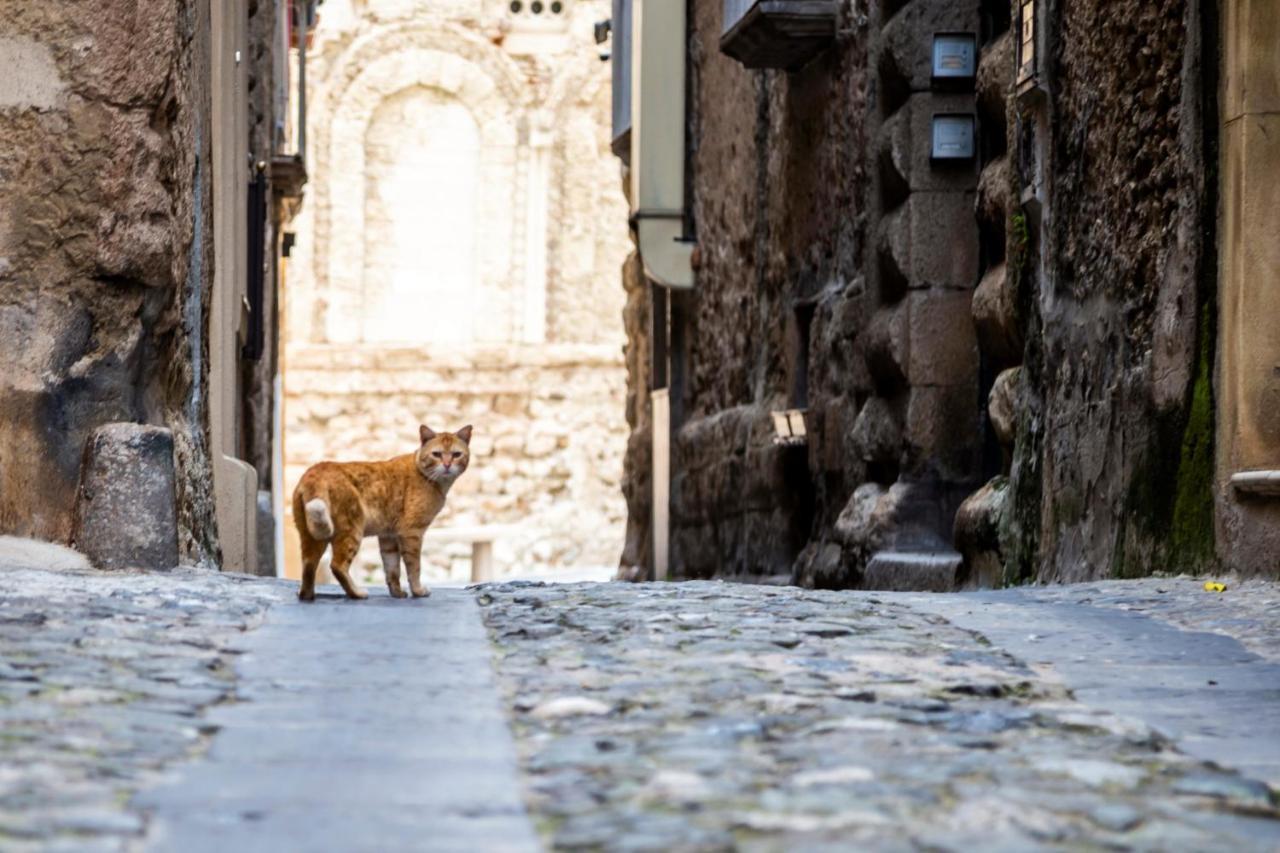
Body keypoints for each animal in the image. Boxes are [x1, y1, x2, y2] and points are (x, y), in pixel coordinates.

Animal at [289, 422, 471, 596]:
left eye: (456, 454)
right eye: (437, 454)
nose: (447, 465)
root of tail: (316, 470)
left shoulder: (388, 536)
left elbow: (392, 569)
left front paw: (397, 593)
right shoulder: (412, 533)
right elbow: (414, 568)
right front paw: (418, 591)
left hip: (312, 535)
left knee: (308, 565)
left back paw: (307, 594)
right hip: (351, 530)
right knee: (337, 566)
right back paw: (357, 593)